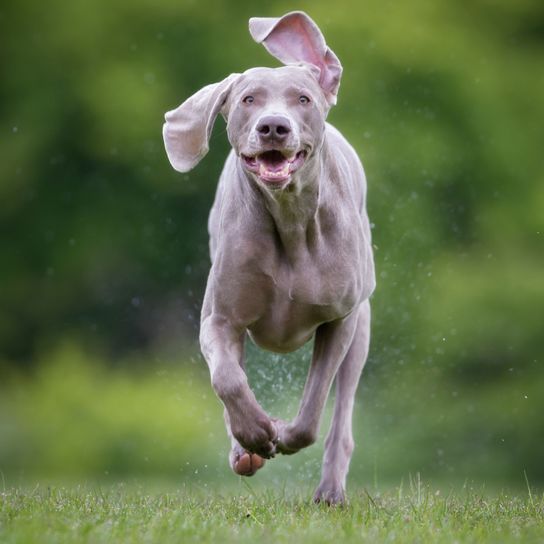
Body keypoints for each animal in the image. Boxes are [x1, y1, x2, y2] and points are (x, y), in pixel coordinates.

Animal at [163, 11, 374, 506]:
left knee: (342, 414)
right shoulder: (219, 318)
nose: (273, 127)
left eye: (303, 99)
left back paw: (330, 491)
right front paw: (256, 434)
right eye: (247, 99)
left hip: (364, 323)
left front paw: (283, 433)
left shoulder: (341, 319)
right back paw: (245, 449)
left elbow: (314, 406)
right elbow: (227, 379)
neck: (291, 221)